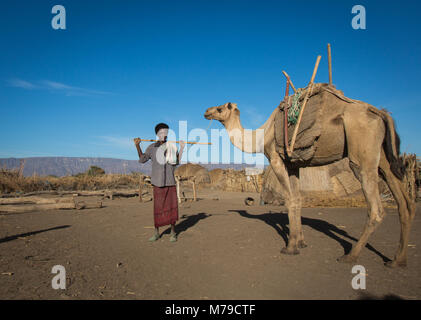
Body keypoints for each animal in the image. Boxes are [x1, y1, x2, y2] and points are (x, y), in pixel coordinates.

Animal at [205, 83, 416, 268]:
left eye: (220, 108)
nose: (206, 111)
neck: (262, 136)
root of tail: (379, 112)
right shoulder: (294, 165)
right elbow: (298, 200)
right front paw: (301, 242)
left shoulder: (277, 160)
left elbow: (290, 200)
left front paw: (290, 247)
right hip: (384, 159)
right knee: (405, 203)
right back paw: (397, 260)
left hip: (362, 155)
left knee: (376, 208)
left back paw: (350, 256)